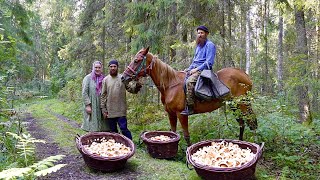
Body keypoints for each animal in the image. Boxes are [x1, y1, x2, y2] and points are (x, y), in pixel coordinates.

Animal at [120, 47, 258, 146]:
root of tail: (245, 75)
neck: (170, 85)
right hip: (234, 105)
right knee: (242, 123)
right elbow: (173, 132)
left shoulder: (181, 114)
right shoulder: (171, 113)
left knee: (252, 123)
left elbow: (186, 135)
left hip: (243, 104)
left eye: (136, 60)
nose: (123, 77)